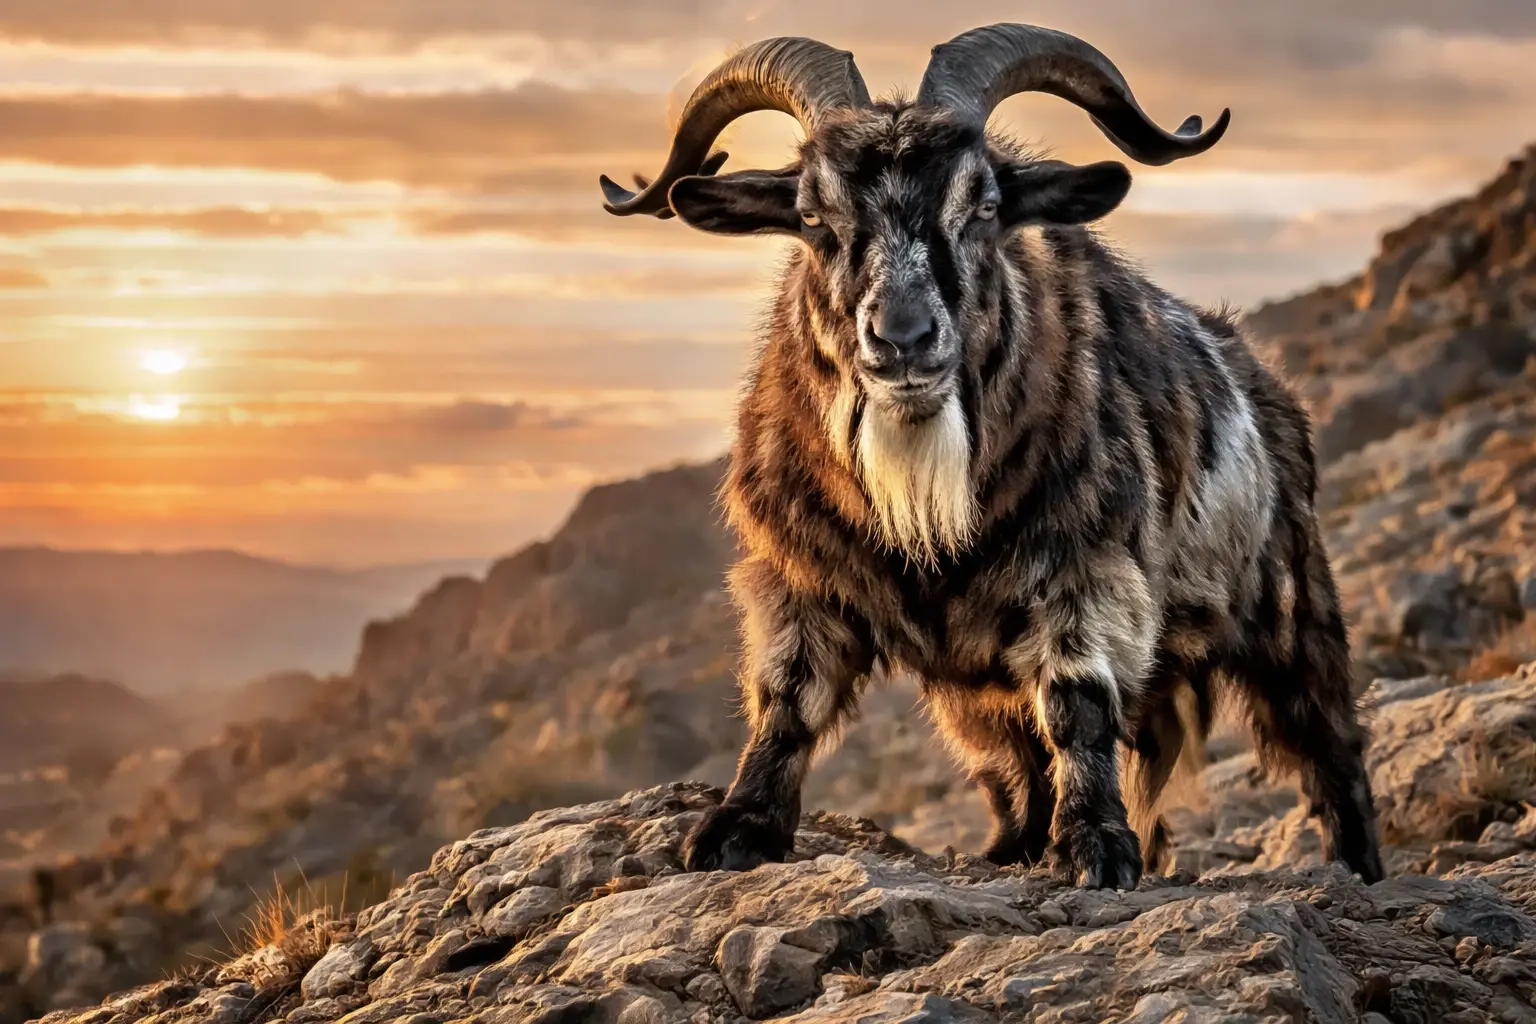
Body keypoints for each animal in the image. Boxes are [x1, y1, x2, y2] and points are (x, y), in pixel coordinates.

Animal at [600, 25, 1383, 889]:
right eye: (811, 214)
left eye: (983, 205)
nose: (903, 338)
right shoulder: (799, 576)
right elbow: (788, 698)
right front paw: (735, 827)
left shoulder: (1086, 568)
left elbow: (1077, 702)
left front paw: (1096, 846)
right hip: (973, 691)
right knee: (1014, 764)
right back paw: (1015, 846)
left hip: (1291, 606)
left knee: (1329, 750)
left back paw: (1358, 866)